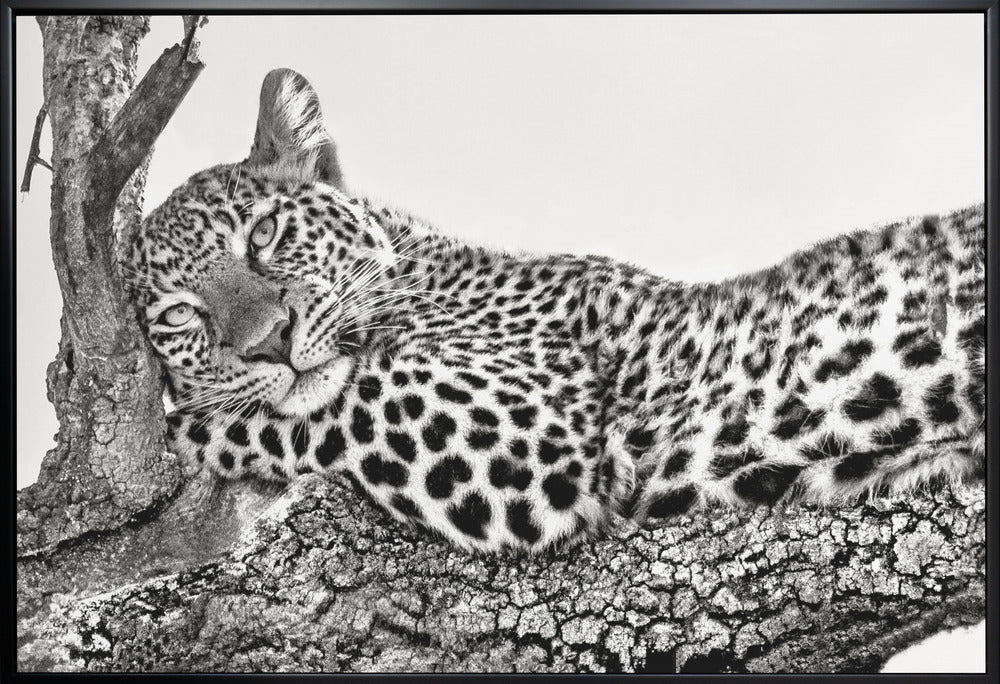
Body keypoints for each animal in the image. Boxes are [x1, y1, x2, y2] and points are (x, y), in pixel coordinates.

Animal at [126, 68, 986, 554]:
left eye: (264, 235)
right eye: (178, 318)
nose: (269, 343)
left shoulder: (530, 430)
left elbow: (325, 406)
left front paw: (184, 427)